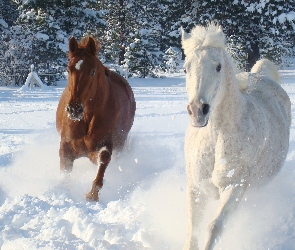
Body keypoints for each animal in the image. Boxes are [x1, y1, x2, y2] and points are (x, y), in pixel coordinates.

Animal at [56, 36, 137, 201]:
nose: (74, 109)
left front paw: (92, 195)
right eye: (68, 69)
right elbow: (65, 174)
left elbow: (104, 158)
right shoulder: (66, 148)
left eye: (92, 71)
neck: (86, 119)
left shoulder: (102, 146)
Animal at [183, 23, 292, 250]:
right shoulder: (196, 187)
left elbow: (214, 226)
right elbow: (192, 232)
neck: (216, 137)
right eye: (185, 68)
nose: (198, 111)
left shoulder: (234, 187)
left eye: (218, 66)